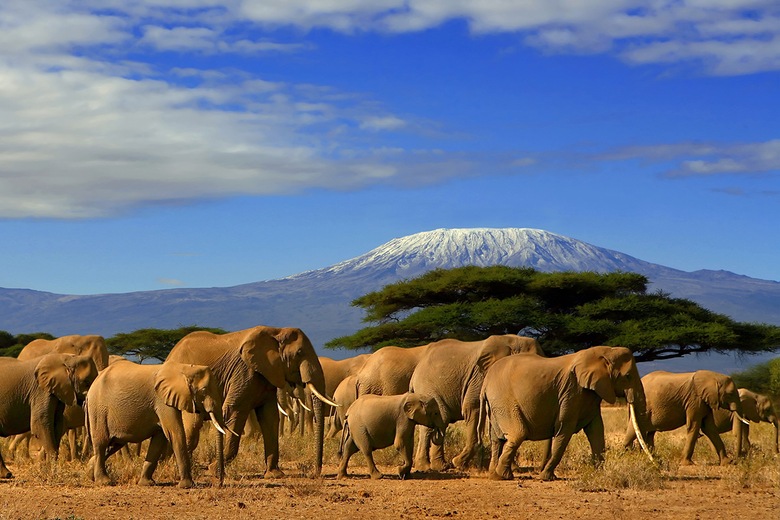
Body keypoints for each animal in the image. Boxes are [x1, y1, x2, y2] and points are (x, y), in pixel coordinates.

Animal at [86, 360, 232, 490]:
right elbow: (175, 433)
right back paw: (104, 482)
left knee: (113, 444)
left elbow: (159, 439)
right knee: (101, 443)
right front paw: (188, 486)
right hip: (98, 410)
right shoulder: (162, 401)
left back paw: (90, 474)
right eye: (203, 390)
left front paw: (147, 484)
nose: (219, 483)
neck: (184, 368)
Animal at [165, 328, 336, 478]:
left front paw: (274, 474)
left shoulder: (267, 375)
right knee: (193, 425)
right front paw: (214, 470)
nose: (315, 473)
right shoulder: (244, 372)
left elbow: (270, 417)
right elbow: (235, 411)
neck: (276, 331)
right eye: (299, 353)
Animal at [408, 336, 544, 470]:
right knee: (437, 421)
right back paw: (431, 467)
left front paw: (513, 468)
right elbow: (473, 408)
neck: (513, 340)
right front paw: (458, 463)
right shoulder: (479, 377)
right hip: (427, 388)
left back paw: (436, 466)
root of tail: (415, 373)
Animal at [484, 348, 648, 482]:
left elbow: (596, 431)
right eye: (628, 376)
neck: (604, 351)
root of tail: (486, 381)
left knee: (497, 438)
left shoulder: (590, 394)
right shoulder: (571, 391)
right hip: (503, 400)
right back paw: (502, 476)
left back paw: (495, 475)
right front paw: (547, 477)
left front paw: (598, 475)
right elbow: (564, 429)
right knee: (518, 434)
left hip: (495, 405)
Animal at [620, 368, 748, 466]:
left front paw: (727, 462)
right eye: (730, 394)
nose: (737, 459)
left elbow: (709, 428)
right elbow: (694, 426)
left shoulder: (704, 402)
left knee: (648, 434)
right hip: (641, 406)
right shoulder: (694, 400)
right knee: (633, 431)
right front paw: (688, 464)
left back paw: (654, 459)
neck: (712, 376)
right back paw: (623, 457)